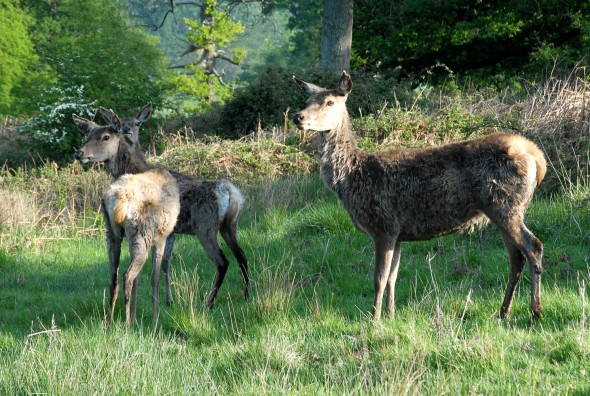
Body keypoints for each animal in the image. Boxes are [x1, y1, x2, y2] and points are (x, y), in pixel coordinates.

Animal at [74, 110, 250, 310]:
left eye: (105, 137)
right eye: (87, 136)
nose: (79, 153)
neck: (135, 169)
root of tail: (232, 193)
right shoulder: (171, 232)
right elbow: (165, 264)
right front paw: (169, 300)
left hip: (205, 226)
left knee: (222, 261)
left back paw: (209, 302)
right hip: (230, 225)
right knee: (242, 257)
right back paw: (246, 295)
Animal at [294, 71, 548, 320]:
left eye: (330, 102)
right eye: (307, 100)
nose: (298, 117)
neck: (352, 179)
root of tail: (537, 157)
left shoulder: (383, 225)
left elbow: (378, 279)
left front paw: (374, 319)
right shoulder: (398, 233)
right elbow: (392, 278)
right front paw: (391, 315)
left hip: (504, 205)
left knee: (533, 246)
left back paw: (535, 312)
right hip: (502, 209)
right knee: (516, 258)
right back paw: (504, 312)